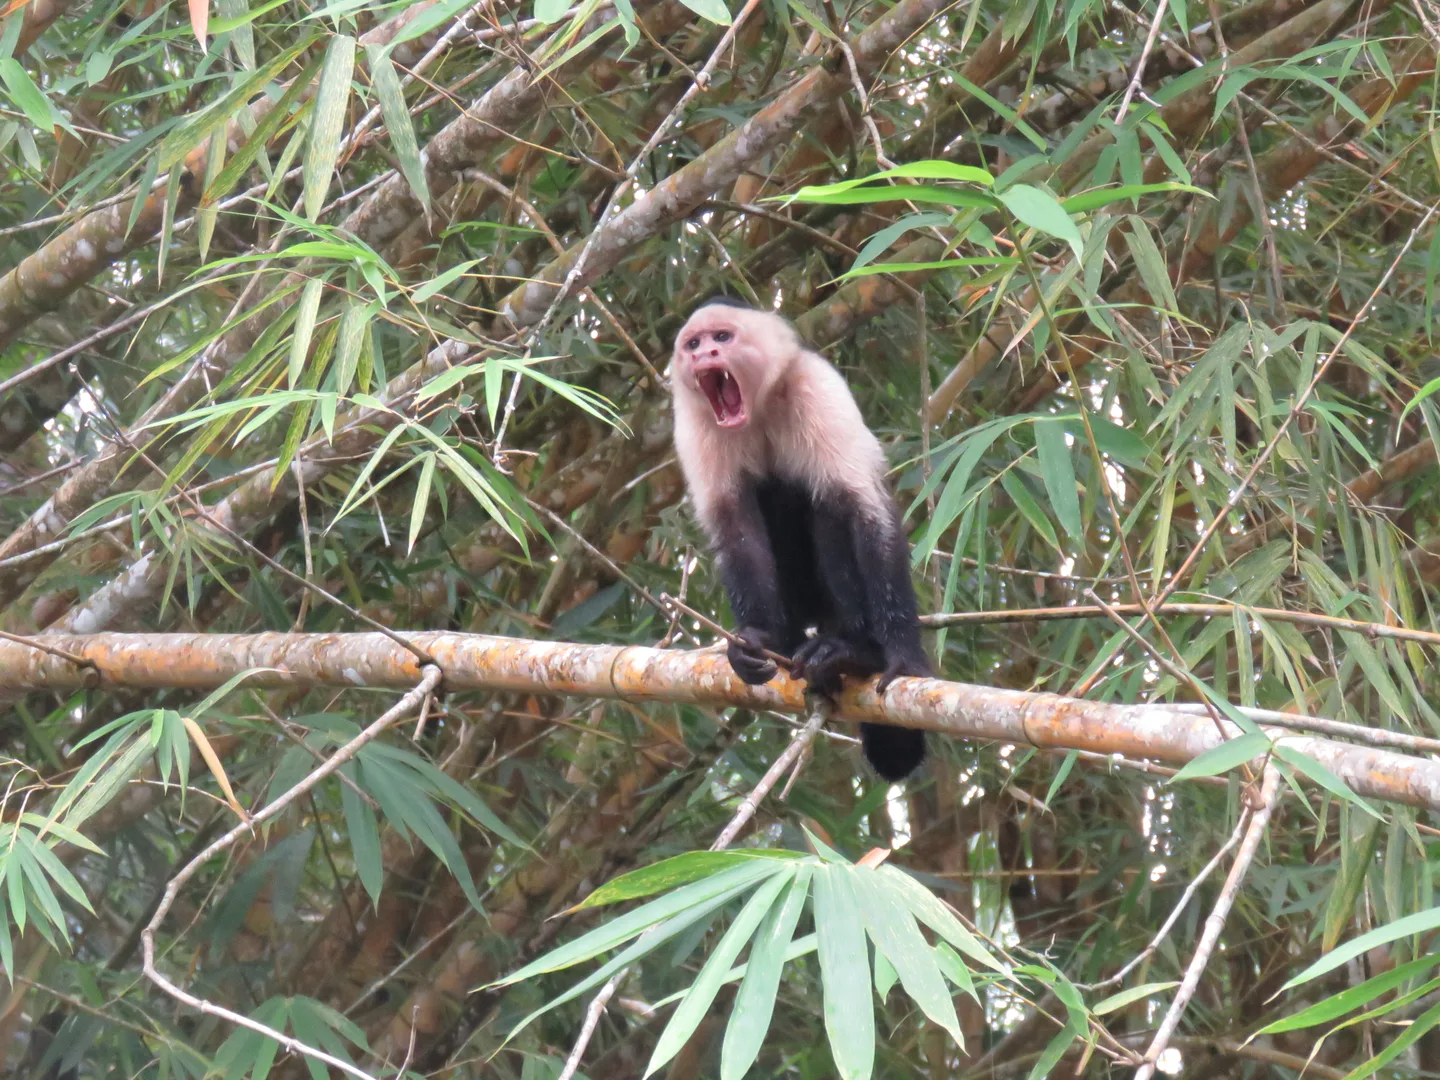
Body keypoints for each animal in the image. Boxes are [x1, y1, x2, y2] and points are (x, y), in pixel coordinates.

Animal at [669, 296, 931, 781]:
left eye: (722, 338)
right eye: (692, 344)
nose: (704, 356)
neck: (760, 406)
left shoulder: (815, 386)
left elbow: (864, 508)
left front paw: (903, 656)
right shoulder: (695, 425)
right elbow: (736, 529)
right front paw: (757, 640)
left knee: (827, 502)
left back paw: (854, 652)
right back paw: (787, 645)